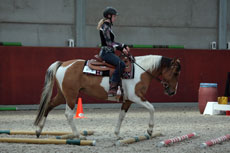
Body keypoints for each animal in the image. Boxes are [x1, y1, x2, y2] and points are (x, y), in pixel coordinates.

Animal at [34, 54, 181, 139]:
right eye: (175, 73)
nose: (173, 91)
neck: (140, 71)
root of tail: (64, 63)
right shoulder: (136, 97)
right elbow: (151, 108)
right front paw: (150, 130)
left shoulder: (128, 100)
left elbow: (121, 116)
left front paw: (117, 134)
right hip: (71, 96)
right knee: (68, 114)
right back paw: (78, 135)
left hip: (62, 95)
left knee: (48, 106)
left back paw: (38, 130)